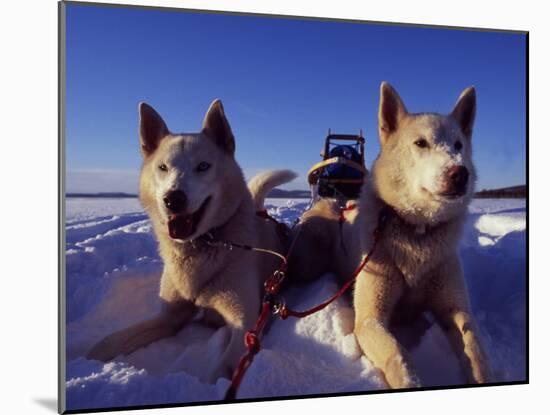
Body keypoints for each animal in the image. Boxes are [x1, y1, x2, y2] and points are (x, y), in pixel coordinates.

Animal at [87, 98, 298, 384]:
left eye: (203, 166)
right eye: (162, 168)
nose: (173, 198)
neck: (202, 246)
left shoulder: (245, 322)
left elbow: (223, 369)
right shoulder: (169, 316)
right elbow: (111, 341)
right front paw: (83, 358)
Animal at [292, 82, 494, 390]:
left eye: (458, 145)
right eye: (421, 143)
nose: (460, 173)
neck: (418, 231)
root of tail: (337, 201)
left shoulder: (456, 309)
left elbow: (475, 348)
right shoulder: (370, 318)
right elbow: (399, 356)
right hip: (310, 259)